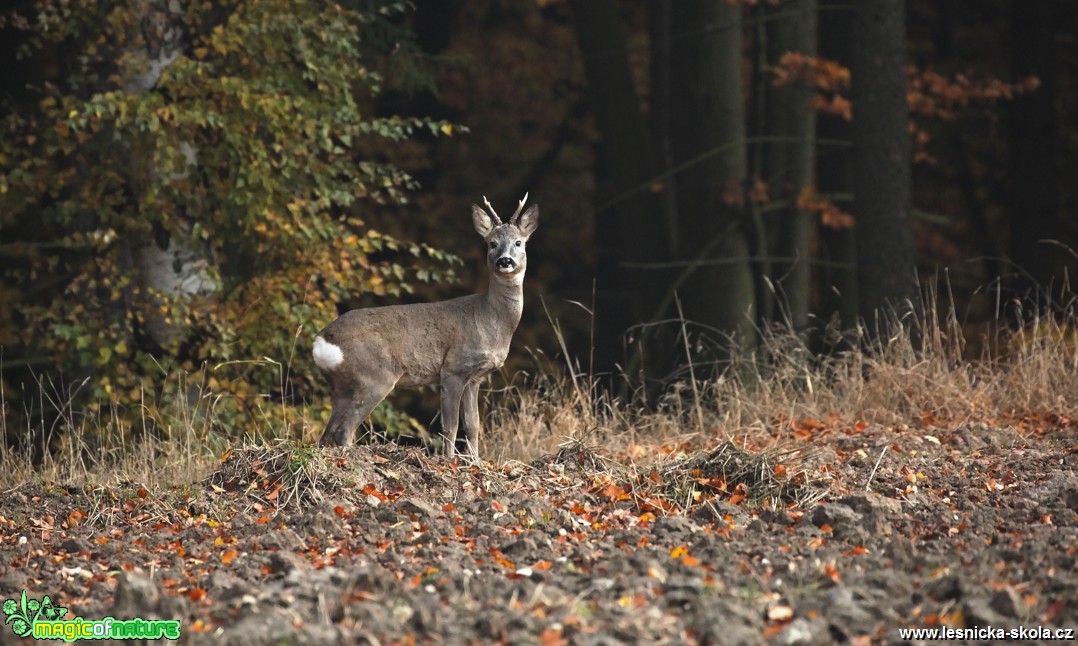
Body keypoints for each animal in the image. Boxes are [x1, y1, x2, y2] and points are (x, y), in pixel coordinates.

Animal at [312, 194, 539, 457]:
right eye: (492, 243)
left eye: (519, 242)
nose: (505, 261)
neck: (491, 319)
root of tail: (321, 341)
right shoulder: (453, 368)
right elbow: (450, 426)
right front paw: (449, 461)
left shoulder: (475, 378)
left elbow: (473, 425)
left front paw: (476, 461)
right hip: (373, 376)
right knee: (343, 431)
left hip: (342, 387)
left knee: (326, 434)